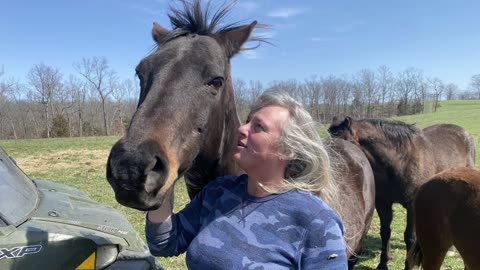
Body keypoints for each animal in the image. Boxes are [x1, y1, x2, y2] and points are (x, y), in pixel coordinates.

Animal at [326, 116, 476, 270]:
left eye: (340, 143)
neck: (400, 161)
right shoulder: (383, 204)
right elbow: (385, 232)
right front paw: (382, 264)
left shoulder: (411, 205)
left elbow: (409, 237)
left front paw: (408, 265)